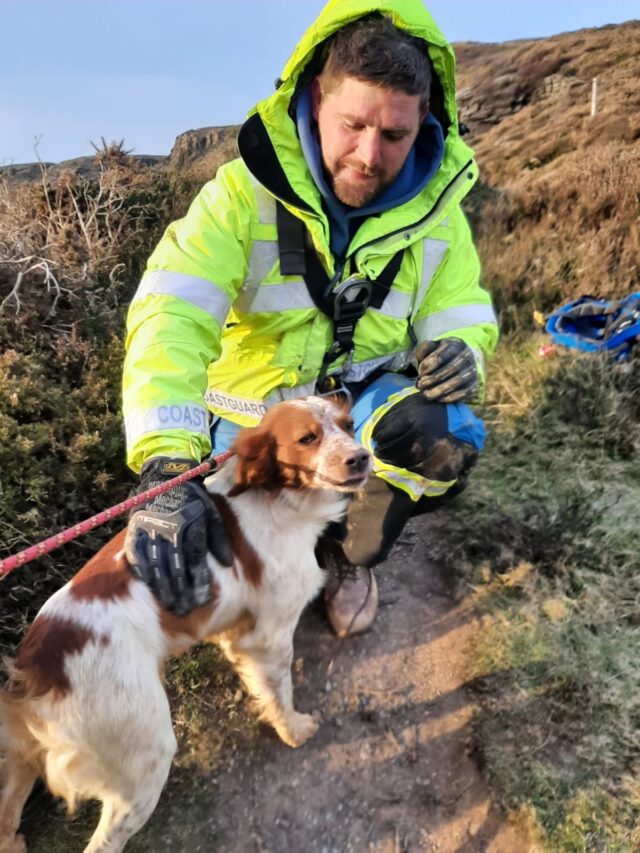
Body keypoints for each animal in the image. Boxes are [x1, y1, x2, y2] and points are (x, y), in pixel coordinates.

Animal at [0, 396, 370, 852]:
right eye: (307, 438)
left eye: (347, 425)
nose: (361, 458)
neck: (276, 497)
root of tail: (35, 671)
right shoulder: (270, 634)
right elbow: (280, 693)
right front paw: (294, 730)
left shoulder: (237, 633)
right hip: (145, 756)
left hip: (21, 757)